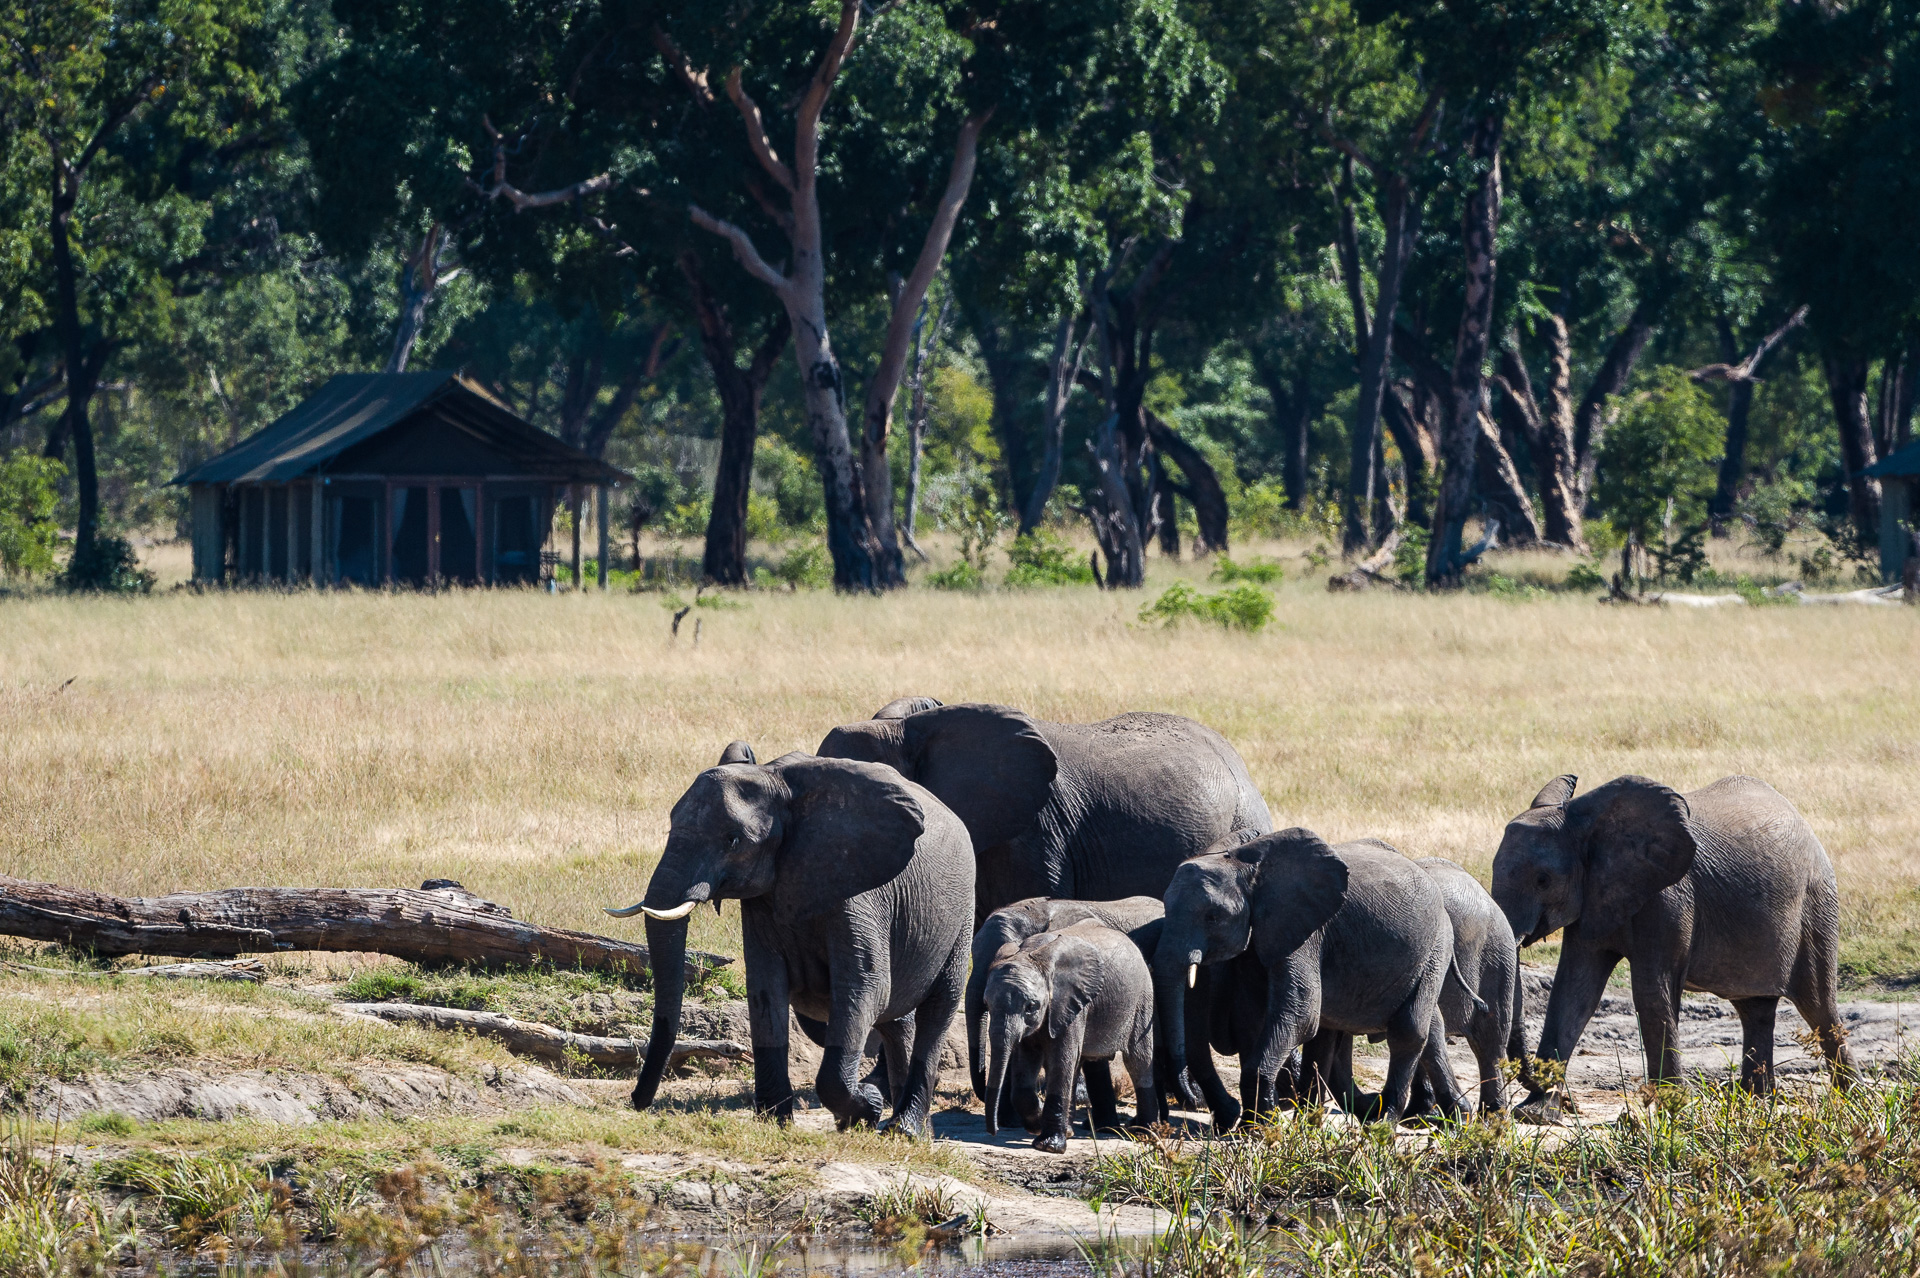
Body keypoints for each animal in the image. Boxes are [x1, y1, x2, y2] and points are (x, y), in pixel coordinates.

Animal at [608, 746, 974, 1136]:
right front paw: (776, 1123)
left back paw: (904, 1130)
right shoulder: (764, 897)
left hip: (962, 911)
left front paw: (866, 1108)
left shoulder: (859, 888)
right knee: (897, 1018)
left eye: (733, 840)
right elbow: (765, 987)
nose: (636, 1101)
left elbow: (866, 985)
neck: (778, 784)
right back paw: (908, 1131)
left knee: (937, 1010)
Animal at [982, 920, 1161, 1153]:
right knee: (1078, 1064)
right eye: (986, 1004)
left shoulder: (1072, 1003)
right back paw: (1068, 1130)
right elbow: (1026, 1061)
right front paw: (1037, 1124)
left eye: (1031, 1006)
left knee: (1137, 1061)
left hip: (1142, 999)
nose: (993, 1131)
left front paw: (1049, 1147)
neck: (1031, 954)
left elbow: (1060, 1059)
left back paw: (1146, 1133)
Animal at [1155, 830, 1468, 1125]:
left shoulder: (1306, 932)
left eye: (1212, 917)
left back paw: (1385, 1122)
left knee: (1408, 1029)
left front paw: (1258, 1127)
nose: (1192, 1101)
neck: (1244, 866)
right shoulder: (1260, 936)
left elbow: (1301, 1014)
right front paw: (1255, 1125)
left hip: (1436, 944)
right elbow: (1253, 1015)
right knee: (1414, 1028)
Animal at [1491, 774, 1853, 1110]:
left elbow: (1650, 991)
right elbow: (1574, 990)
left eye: (1543, 880)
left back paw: (1851, 1099)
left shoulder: (1669, 897)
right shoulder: (1593, 895)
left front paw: (1673, 1105)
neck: (1584, 823)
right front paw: (1535, 1112)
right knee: (1756, 1008)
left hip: (1817, 905)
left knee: (1819, 1007)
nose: (1536, 1083)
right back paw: (1755, 1103)